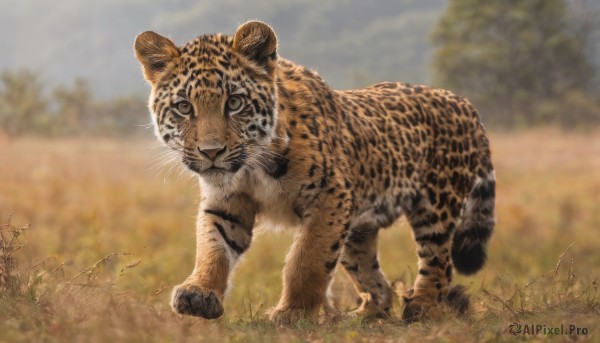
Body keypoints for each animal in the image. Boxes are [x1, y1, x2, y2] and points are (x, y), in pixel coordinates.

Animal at [134, 20, 494, 326]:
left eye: (234, 102)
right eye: (184, 107)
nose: (211, 152)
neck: (253, 167)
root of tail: (463, 101)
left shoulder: (330, 195)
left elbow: (308, 258)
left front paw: (292, 312)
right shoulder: (226, 201)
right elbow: (213, 248)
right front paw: (199, 293)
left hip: (436, 205)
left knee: (439, 263)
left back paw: (422, 308)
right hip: (357, 230)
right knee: (377, 282)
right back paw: (361, 315)